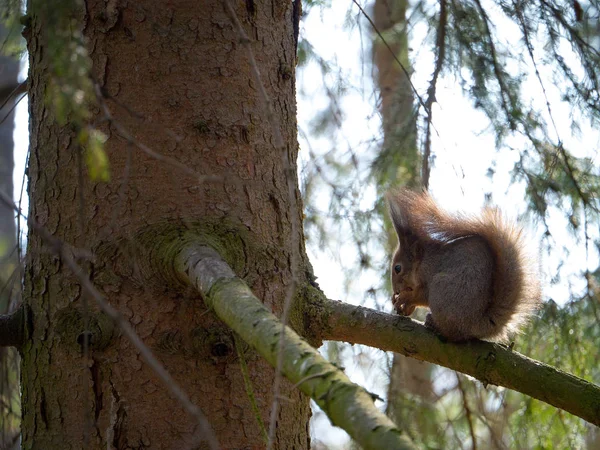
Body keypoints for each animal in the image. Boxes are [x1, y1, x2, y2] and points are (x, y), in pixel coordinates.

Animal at [386, 189, 540, 342]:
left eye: (398, 268)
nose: (396, 291)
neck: (422, 262)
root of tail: (474, 325)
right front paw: (406, 307)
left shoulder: (429, 275)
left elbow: (420, 295)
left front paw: (405, 298)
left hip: (442, 289)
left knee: (451, 332)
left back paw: (434, 323)